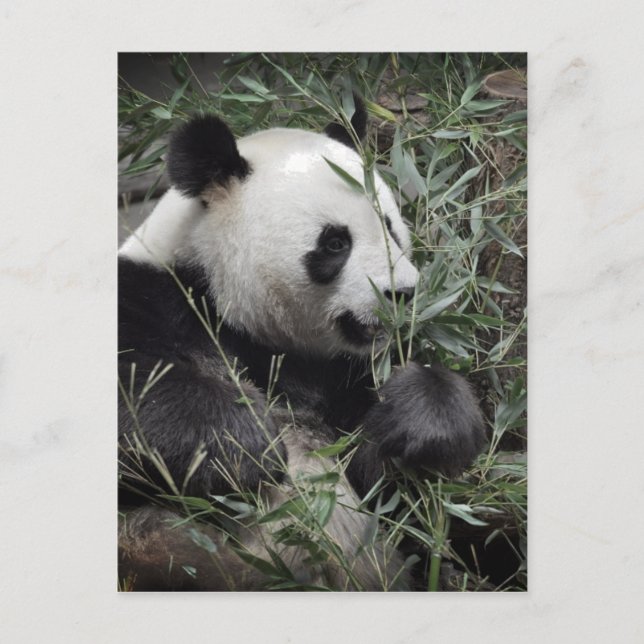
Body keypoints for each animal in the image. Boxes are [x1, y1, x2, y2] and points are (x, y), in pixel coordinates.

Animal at [118, 99, 485, 591]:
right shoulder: (156, 297)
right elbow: (138, 387)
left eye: (391, 228)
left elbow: (383, 483)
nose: (402, 293)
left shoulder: (347, 378)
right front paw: (243, 442)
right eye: (335, 242)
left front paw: (427, 422)